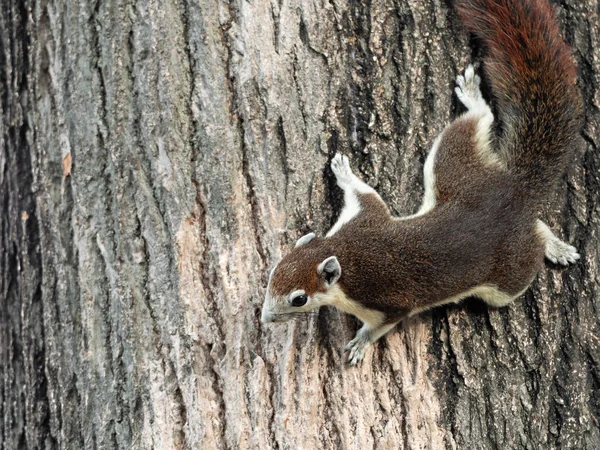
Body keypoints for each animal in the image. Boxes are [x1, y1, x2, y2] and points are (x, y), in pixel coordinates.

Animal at [260, 0, 584, 364]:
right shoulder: (363, 219)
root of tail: (515, 189)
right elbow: (367, 196)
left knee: (531, 236)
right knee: (479, 127)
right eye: (275, 271)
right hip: (453, 167)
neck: (344, 250)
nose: (265, 318)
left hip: (509, 275)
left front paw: (360, 344)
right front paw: (343, 170)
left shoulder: (386, 302)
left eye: (299, 299)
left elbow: (380, 325)